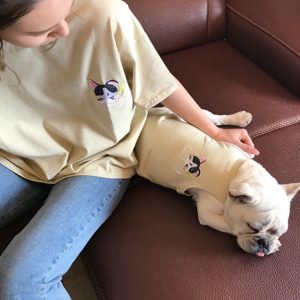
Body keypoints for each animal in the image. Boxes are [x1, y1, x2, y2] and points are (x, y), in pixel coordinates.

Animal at [136, 107, 300, 255]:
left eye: (278, 232)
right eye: (252, 228)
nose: (265, 244)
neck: (234, 172)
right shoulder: (208, 214)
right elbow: (230, 225)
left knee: (213, 118)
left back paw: (240, 118)